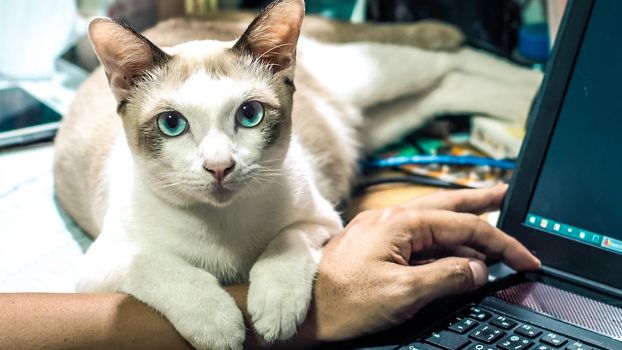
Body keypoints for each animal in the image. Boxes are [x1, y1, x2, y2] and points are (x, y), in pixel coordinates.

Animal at [52, 1, 540, 348]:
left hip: (374, 78)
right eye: (172, 124)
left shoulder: (323, 220)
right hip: (387, 117)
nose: (219, 166)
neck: (225, 227)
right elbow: (159, 266)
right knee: (448, 84)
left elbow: (284, 245)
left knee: (455, 59)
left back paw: (534, 93)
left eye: (249, 115)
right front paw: (219, 323)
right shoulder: (101, 266)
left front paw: (273, 309)